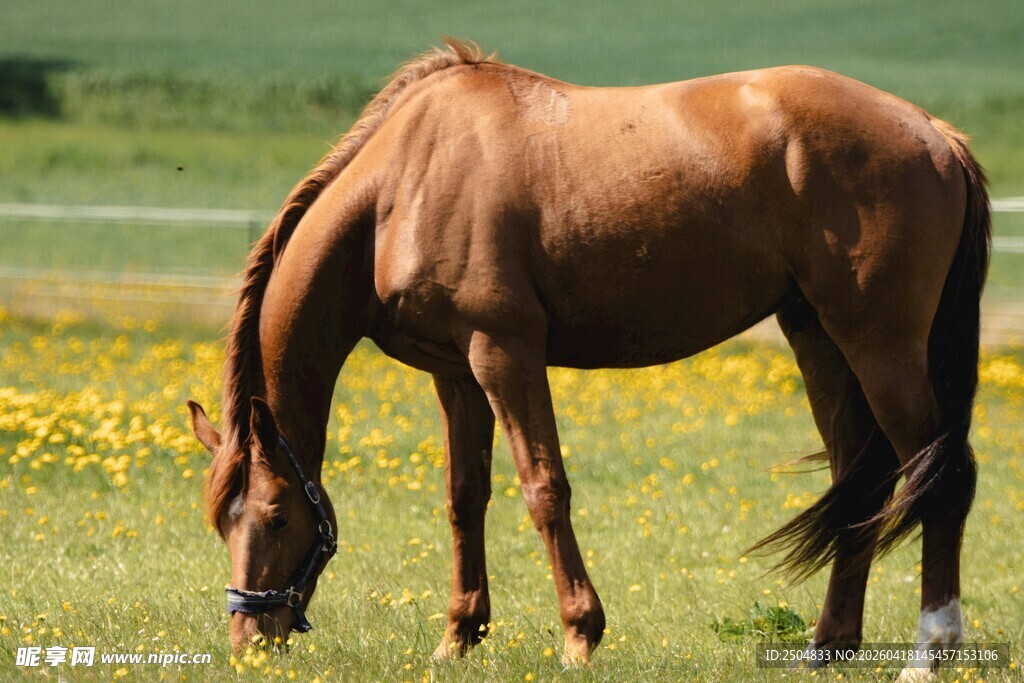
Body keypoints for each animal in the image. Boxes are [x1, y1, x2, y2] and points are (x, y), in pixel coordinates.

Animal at [186, 39, 989, 676]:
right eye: (223, 524)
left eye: (276, 516)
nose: (248, 640)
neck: (403, 185)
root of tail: (935, 133)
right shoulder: (455, 374)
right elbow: (463, 498)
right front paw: (460, 636)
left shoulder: (503, 354)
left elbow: (545, 489)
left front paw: (580, 634)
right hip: (817, 335)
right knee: (862, 478)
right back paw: (829, 645)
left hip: (879, 345)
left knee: (940, 477)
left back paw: (931, 651)